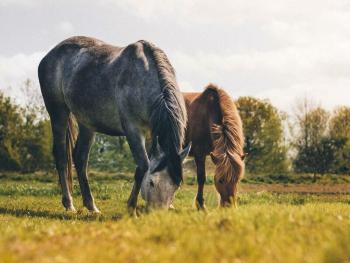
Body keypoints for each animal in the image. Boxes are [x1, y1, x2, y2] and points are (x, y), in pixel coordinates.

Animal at [38, 36, 190, 214]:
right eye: (152, 182)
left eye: (176, 186)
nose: (157, 214)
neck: (143, 78)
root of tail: (50, 55)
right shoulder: (133, 129)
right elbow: (143, 165)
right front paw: (131, 207)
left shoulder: (150, 132)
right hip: (58, 112)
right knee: (62, 156)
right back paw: (69, 204)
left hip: (86, 123)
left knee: (80, 158)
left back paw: (91, 206)